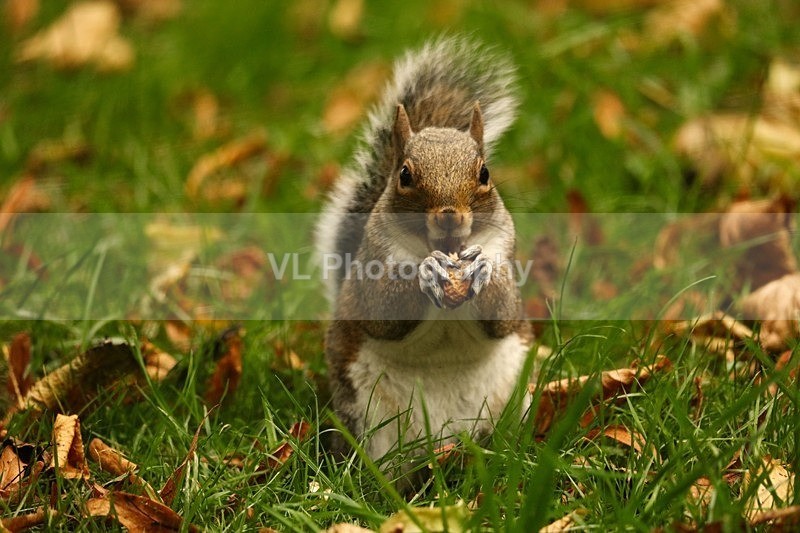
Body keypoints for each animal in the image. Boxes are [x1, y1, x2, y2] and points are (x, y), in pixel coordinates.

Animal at [316, 37, 532, 464]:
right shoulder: (372, 267)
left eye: (484, 173)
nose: (449, 216)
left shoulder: (506, 252)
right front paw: (426, 272)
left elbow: (503, 312)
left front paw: (481, 269)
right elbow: (383, 310)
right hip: (366, 415)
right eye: (404, 175)